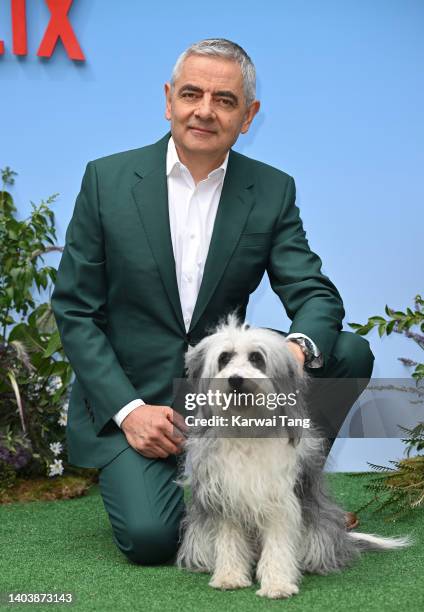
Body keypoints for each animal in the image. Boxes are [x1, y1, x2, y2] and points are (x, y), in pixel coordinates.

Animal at [176, 316, 410, 596]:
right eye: (224, 358)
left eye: (256, 358)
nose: (235, 380)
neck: (248, 426)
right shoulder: (224, 495)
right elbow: (229, 540)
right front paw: (229, 577)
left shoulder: (278, 497)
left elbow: (278, 544)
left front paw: (277, 583)